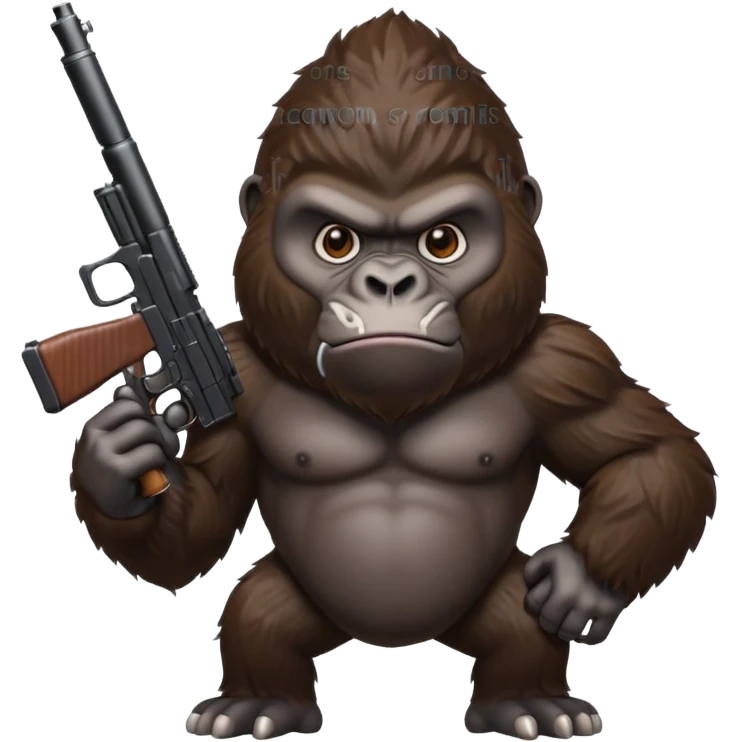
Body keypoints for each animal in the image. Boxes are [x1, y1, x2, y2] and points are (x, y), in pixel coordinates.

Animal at [69, 10, 718, 741]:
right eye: (335, 242)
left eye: (442, 241)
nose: (389, 282)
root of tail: (395, 640)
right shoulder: (242, 367)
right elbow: (197, 533)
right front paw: (116, 462)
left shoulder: (567, 361)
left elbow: (650, 452)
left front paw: (580, 581)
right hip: (303, 603)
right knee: (258, 612)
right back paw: (262, 703)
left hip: (488, 600)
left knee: (517, 623)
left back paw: (526, 702)